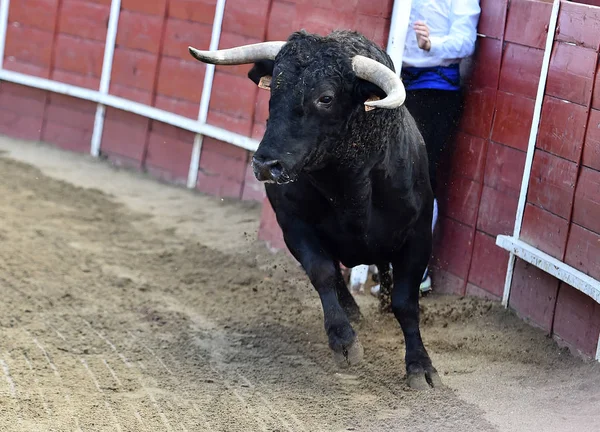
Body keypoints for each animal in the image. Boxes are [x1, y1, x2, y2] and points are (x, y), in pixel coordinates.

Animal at [190, 29, 442, 388]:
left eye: (326, 97)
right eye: (274, 88)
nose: (266, 165)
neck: (349, 184)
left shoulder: (418, 235)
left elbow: (406, 302)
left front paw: (420, 366)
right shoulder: (294, 226)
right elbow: (323, 273)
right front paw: (344, 341)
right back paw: (353, 315)